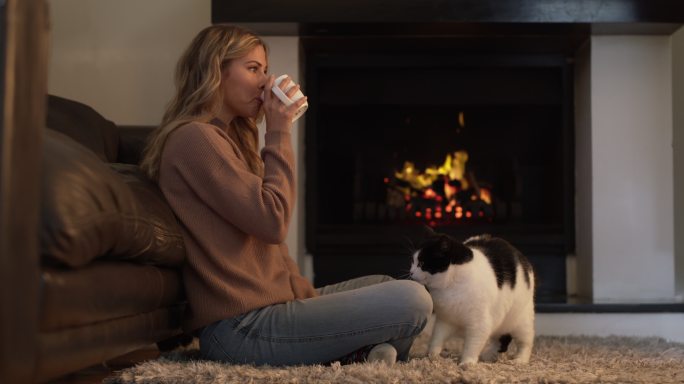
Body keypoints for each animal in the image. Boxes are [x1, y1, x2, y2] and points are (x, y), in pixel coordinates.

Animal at [408, 232, 536, 364]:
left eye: (422, 264)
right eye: (412, 261)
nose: (411, 272)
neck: (451, 286)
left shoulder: (479, 324)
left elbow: (472, 346)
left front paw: (467, 362)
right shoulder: (445, 320)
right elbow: (436, 339)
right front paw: (431, 357)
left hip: (521, 322)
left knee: (525, 342)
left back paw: (520, 359)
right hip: (498, 320)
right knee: (498, 339)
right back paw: (489, 355)